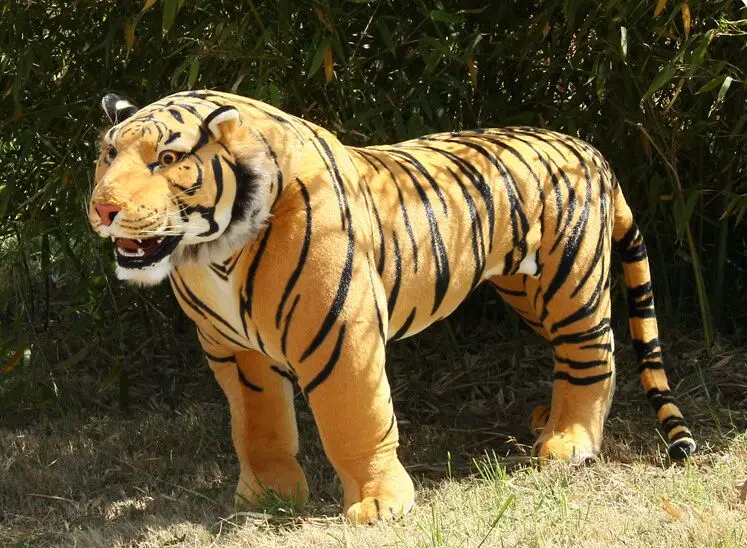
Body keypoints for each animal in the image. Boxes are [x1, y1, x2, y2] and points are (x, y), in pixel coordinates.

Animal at [88, 90, 696, 523]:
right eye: (109, 154)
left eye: (168, 159)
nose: (102, 209)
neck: (213, 251)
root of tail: (592, 152)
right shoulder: (236, 351)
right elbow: (256, 426)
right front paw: (267, 496)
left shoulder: (341, 335)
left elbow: (355, 420)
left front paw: (378, 504)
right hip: (527, 290)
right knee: (570, 358)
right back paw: (548, 420)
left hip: (571, 282)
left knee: (595, 355)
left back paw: (569, 442)